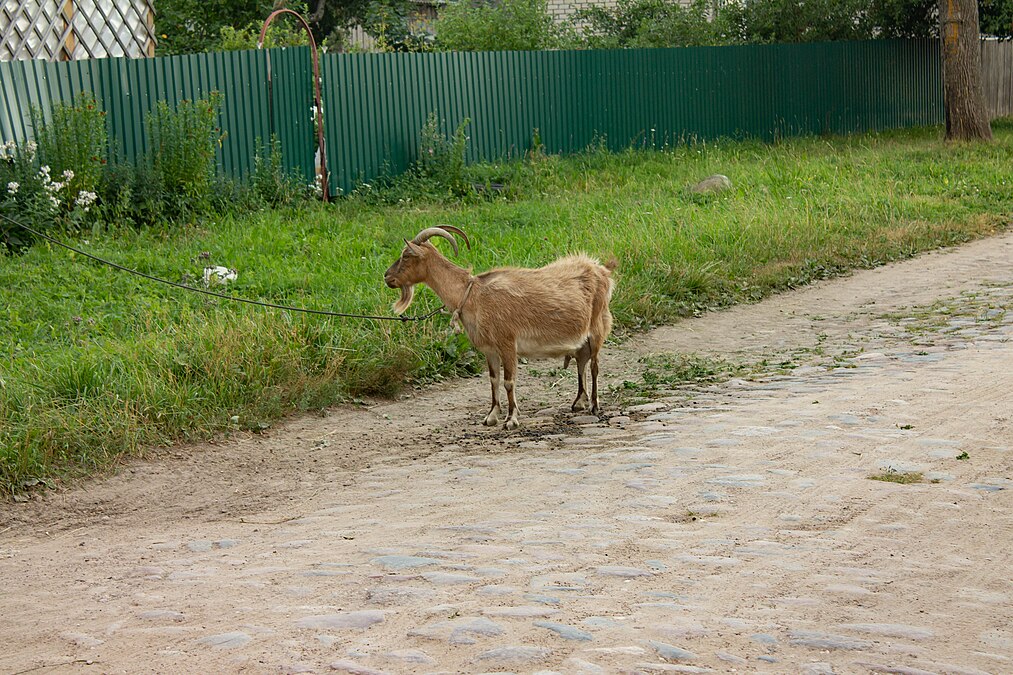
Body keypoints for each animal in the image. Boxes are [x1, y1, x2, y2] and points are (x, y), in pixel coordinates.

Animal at [380, 225, 611, 425]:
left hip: (597, 327)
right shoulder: (489, 349)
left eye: (406, 255)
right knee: (582, 360)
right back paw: (579, 401)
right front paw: (491, 416)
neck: (472, 295)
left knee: (594, 365)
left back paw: (594, 406)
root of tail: (601, 270)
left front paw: (511, 419)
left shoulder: (507, 343)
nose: (386, 276)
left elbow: (509, 381)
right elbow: (493, 379)